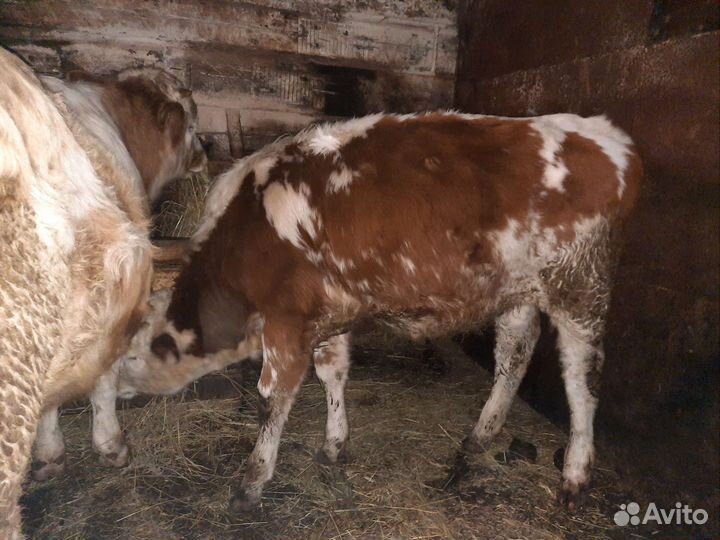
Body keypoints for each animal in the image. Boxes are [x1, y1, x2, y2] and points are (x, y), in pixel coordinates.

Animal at [0, 47, 204, 538]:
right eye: (192, 124)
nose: (205, 152)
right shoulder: (117, 307)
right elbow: (104, 381)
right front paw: (110, 444)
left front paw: (49, 453)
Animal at [139, 111, 643, 513]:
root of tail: (605, 134)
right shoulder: (326, 311)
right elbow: (333, 372)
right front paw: (334, 445)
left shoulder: (287, 316)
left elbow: (272, 398)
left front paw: (252, 480)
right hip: (516, 289)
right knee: (514, 353)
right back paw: (480, 436)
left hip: (580, 285)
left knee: (581, 375)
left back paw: (575, 473)